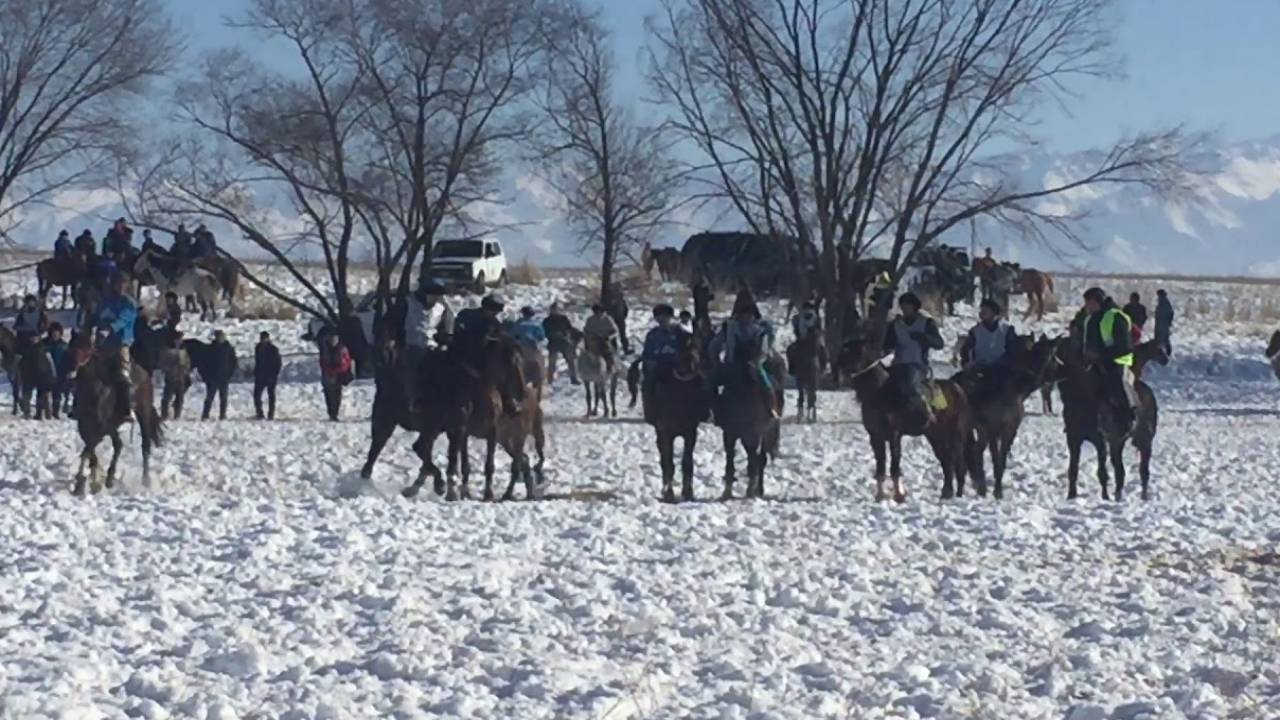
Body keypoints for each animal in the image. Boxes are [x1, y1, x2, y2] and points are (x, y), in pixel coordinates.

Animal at [63, 333, 163, 491]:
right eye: (71, 347)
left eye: (86, 349)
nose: (71, 369)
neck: (94, 391)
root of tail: (144, 374)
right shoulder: (85, 427)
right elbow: (89, 450)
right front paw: (88, 479)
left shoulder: (105, 426)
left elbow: (91, 448)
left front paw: (88, 481)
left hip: (143, 414)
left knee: (142, 445)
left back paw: (143, 479)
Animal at [627, 330, 711, 499]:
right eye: (680, 351)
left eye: (697, 350)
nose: (691, 367)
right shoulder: (665, 432)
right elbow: (668, 462)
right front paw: (669, 492)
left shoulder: (690, 432)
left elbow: (687, 462)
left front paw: (688, 492)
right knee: (663, 459)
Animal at [839, 330, 967, 499]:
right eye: (846, 349)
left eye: (857, 351)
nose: (840, 367)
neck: (880, 392)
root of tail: (956, 388)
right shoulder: (876, 437)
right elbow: (880, 467)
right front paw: (880, 495)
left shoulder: (894, 435)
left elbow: (894, 466)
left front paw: (899, 495)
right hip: (935, 435)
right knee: (946, 460)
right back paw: (947, 492)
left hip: (951, 434)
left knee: (954, 460)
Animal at [1049, 335, 1162, 499]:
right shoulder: (1074, 438)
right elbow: (1073, 469)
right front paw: (1071, 495)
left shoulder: (1101, 441)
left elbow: (1102, 472)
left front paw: (1105, 497)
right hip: (1117, 443)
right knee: (1120, 471)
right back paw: (1119, 496)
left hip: (1143, 440)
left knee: (1143, 470)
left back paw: (1142, 496)